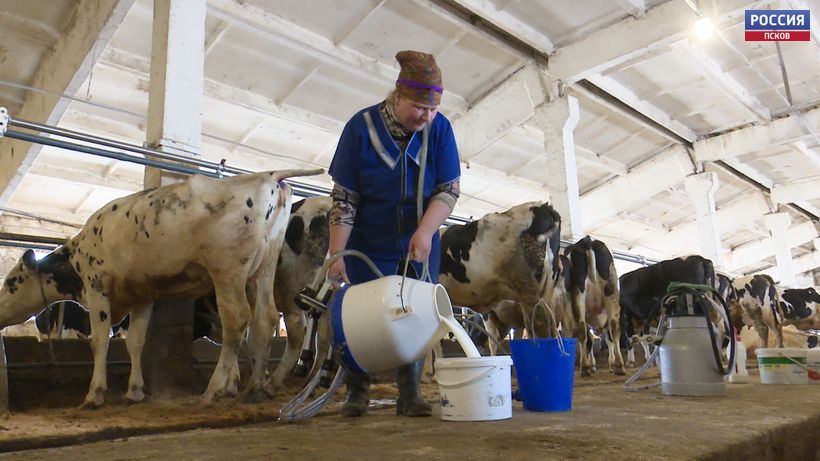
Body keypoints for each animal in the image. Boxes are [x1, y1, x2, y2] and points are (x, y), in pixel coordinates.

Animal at [0, 169, 322, 406]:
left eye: (10, 282)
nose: (0, 311)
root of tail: (267, 176)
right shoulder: (142, 295)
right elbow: (136, 342)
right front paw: (135, 391)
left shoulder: (97, 286)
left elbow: (100, 341)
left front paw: (95, 394)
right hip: (263, 272)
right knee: (265, 321)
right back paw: (256, 386)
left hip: (228, 272)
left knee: (237, 322)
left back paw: (213, 390)